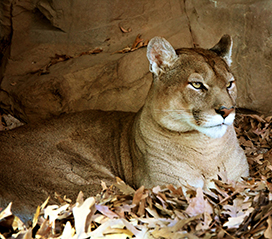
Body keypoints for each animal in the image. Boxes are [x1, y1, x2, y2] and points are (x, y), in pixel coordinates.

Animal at [0, 34, 249, 219]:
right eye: (197, 85)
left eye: (230, 84)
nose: (227, 110)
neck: (206, 150)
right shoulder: (167, 187)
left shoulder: (242, 181)